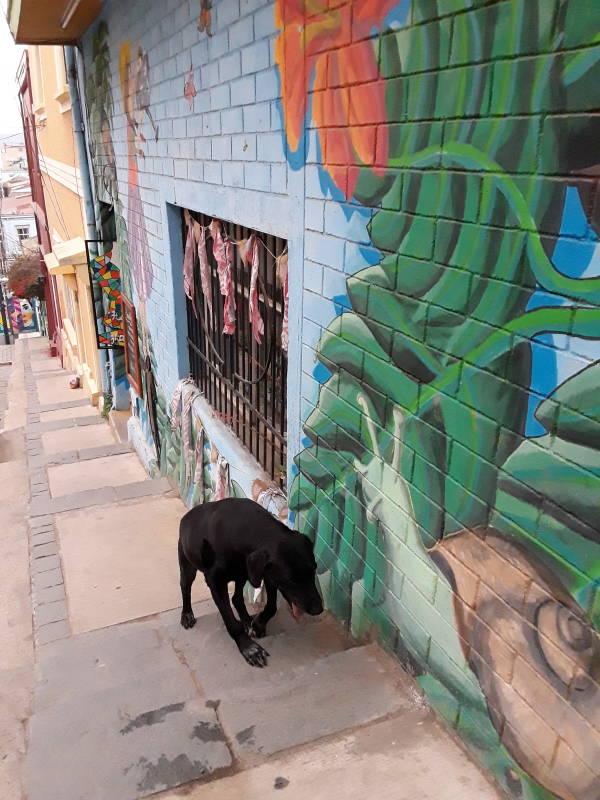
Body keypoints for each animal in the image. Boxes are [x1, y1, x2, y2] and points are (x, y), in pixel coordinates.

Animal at [177, 496, 324, 664]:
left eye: (313, 569)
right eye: (291, 580)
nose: (318, 609)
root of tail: (186, 518)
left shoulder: (265, 571)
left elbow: (272, 606)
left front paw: (258, 624)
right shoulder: (215, 582)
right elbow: (230, 620)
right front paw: (249, 648)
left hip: (243, 574)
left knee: (236, 598)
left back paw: (247, 621)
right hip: (187, 565)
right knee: (185, 588)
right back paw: (187, 614)